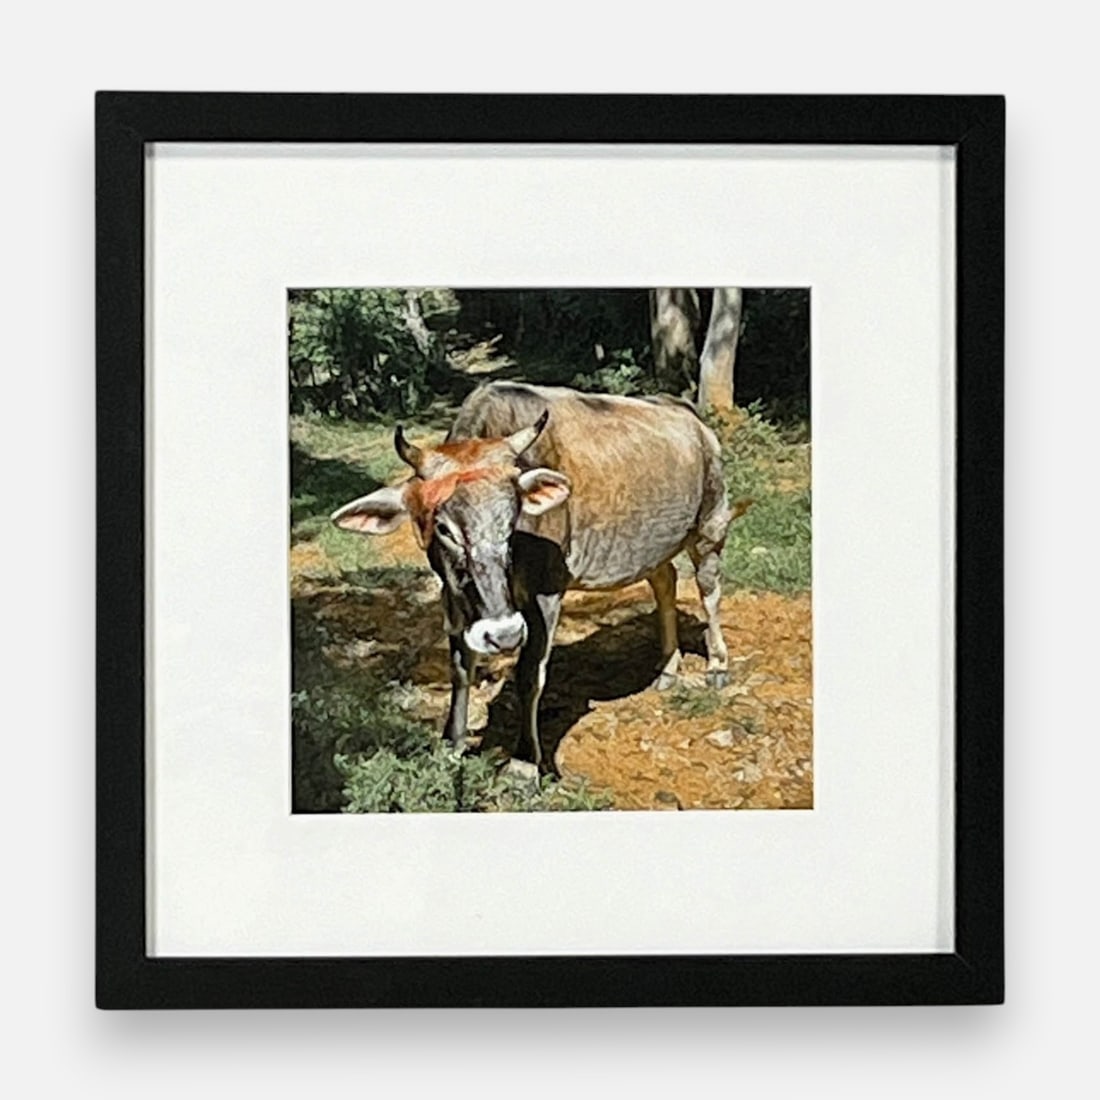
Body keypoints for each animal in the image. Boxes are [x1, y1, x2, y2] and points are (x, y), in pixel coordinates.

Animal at [331, 381, 733, 774]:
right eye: (444, 528)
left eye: (513, 520)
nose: (504, 634)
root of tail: (694, 420)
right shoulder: (453, 597)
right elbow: (460, 668)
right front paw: (452, 743)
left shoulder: (545, 593)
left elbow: (529, 674)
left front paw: (524, 762)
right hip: (652, 545)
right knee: (665, 581)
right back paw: (667, 666)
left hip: (710, 525)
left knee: (709, 590)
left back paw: (717, 663)